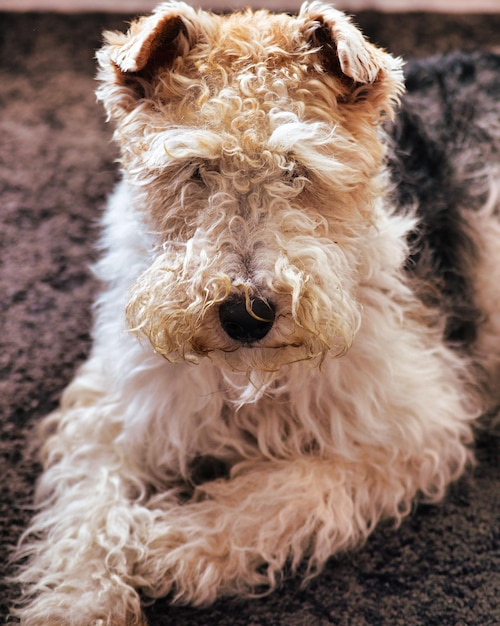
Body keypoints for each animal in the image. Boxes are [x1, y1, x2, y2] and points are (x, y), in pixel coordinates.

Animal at [11, 2, 500, 620]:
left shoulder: (414, 429)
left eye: (297, 170)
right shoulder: (112, 413)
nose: (246, 316)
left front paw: (171, 547)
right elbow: (85, 522)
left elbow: (287, 491)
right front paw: (77, 604)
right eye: (195, 168)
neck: (248, 381)